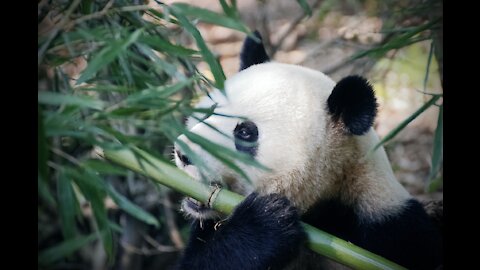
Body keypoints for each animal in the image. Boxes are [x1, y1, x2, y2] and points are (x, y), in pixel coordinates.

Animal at [172, 30, 442, 268]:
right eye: (209, 112)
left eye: (246, 133)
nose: (183, 154)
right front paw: (265, 223)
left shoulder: (391, 228)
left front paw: (266, 220)